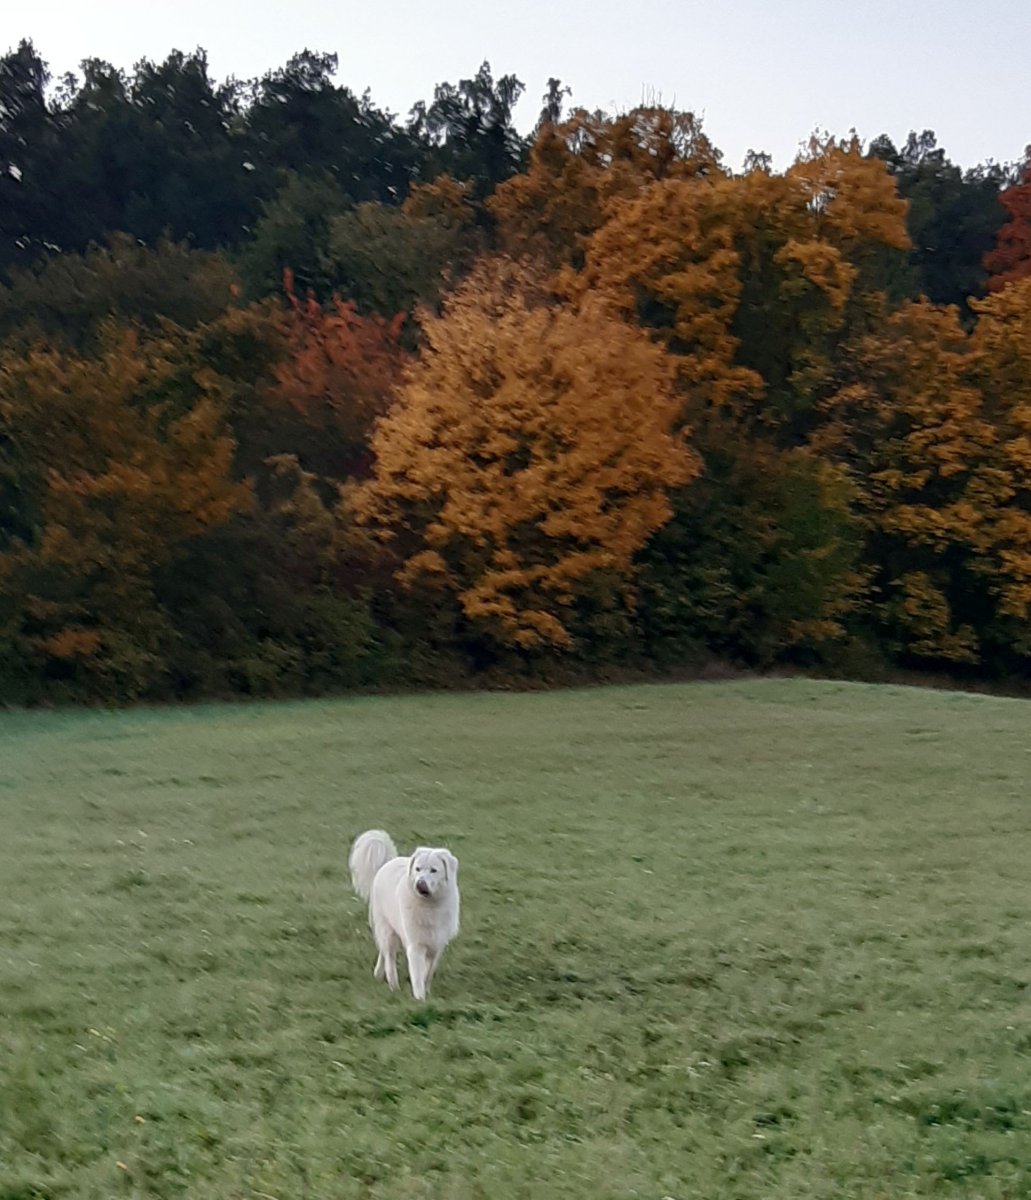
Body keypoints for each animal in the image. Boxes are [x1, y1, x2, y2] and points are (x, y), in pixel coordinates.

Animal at [348, 829, 460, 1001]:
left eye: (434, 870)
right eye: (418, 869)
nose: (420, 884)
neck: (429, 906)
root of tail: (387, 863)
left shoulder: (437, 945)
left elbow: (428, 972)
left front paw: (427, 991)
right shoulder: (415, 945)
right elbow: (417, 974)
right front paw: (420, 998)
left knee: (384, 953)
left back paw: (379, 974)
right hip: (386, 929)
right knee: (389, 957)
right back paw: (393, 985)